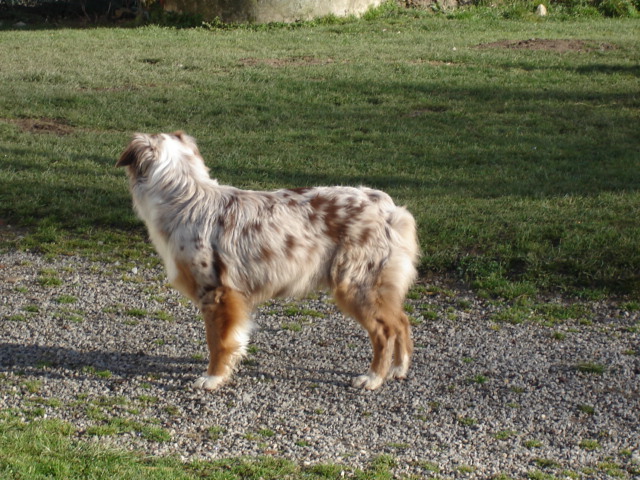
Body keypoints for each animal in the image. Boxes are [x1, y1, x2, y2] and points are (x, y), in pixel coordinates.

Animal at [117, 132, 420, 390]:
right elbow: (235, 339)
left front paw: (213, 378)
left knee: (384, 331)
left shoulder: (216, 294)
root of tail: (388, 207)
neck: (185, 196)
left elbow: (217, 342)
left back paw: (373, 378)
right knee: (402, 321)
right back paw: (398, 369)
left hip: (355, 285)